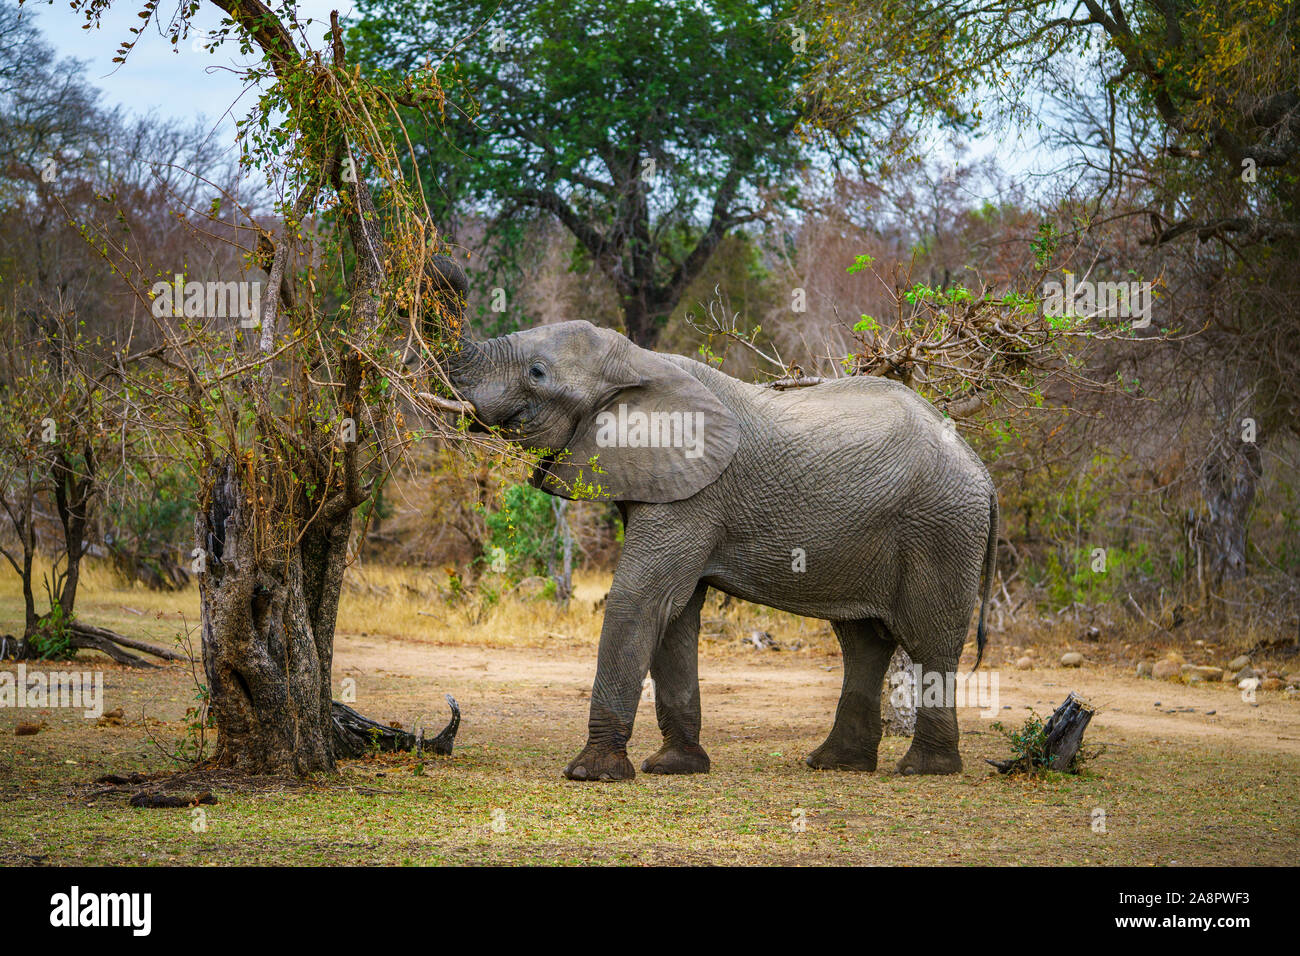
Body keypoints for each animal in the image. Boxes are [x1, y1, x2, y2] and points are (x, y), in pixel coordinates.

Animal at [431, 274, 998, 780]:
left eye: (537, 372)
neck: (641, 359)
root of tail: (982, 471)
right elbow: (676, 615)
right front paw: (674, 768)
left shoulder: (696, 496)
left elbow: (641, 600)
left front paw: (590, 774)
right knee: (862, 642)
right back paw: (834, 763)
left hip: (942, 526)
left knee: (930, 642)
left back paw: (924, 770)